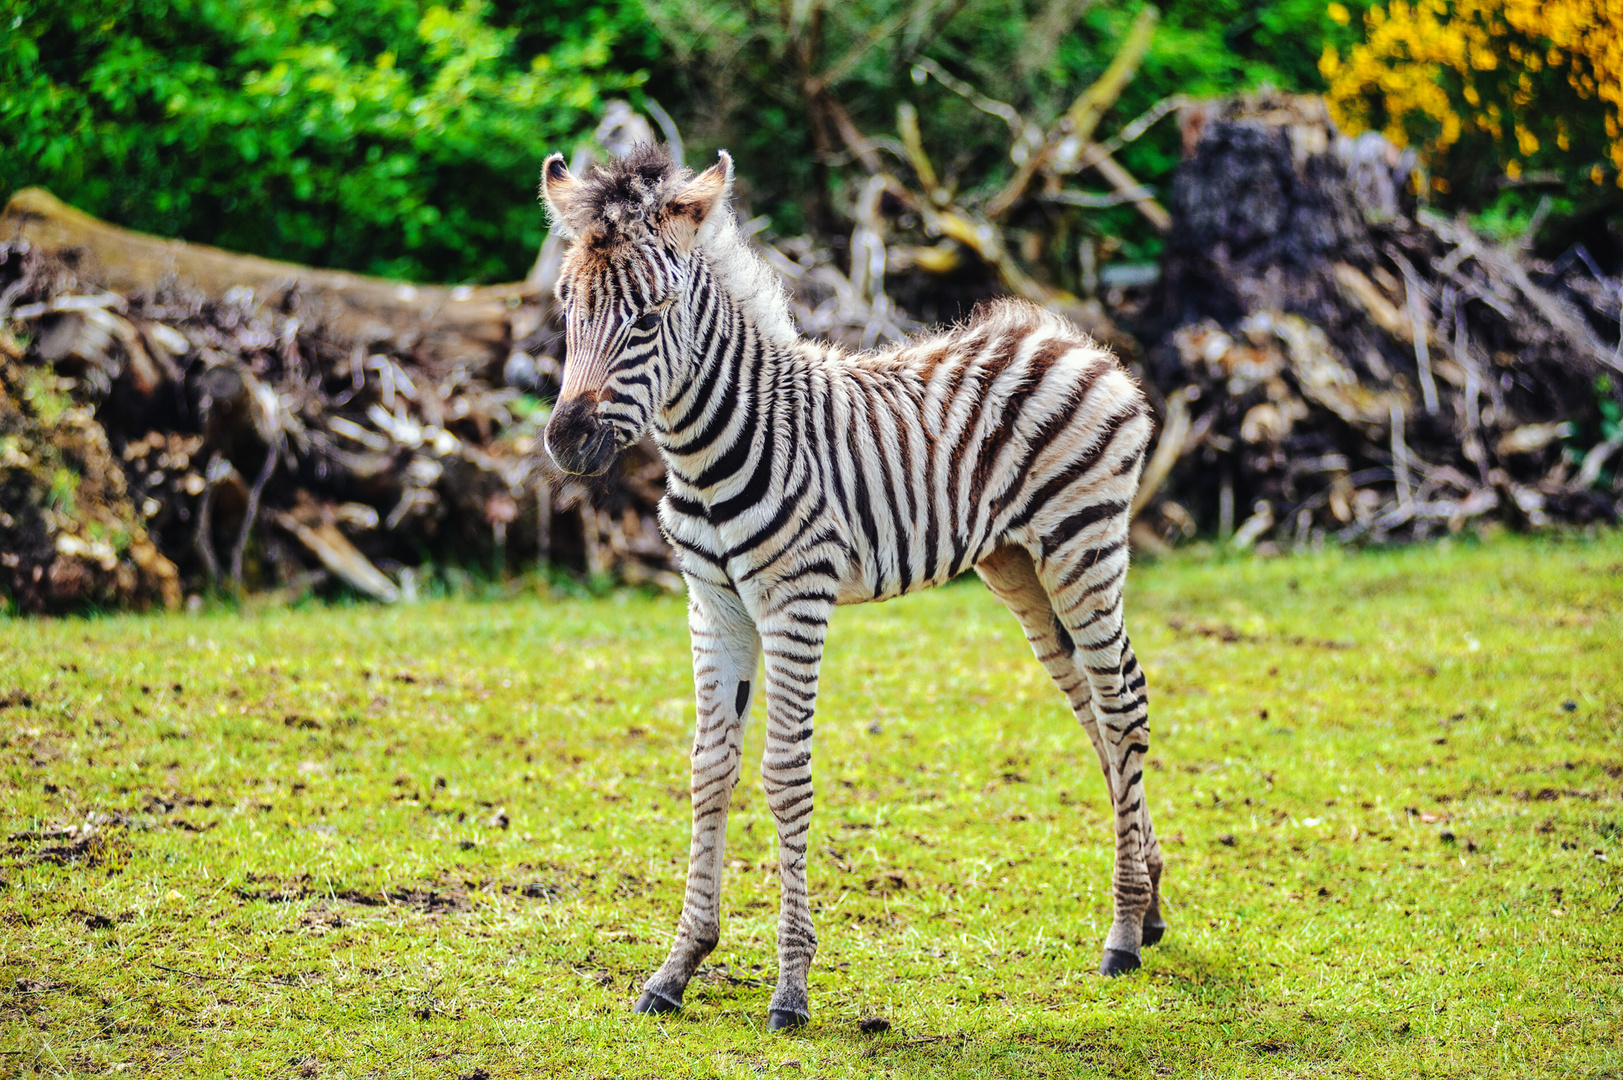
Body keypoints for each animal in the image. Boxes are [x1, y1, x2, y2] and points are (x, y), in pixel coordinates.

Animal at [545, 145, 1168, 1026]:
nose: (567, 441)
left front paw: (790, 989)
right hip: (1017, 566)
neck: (712, 447)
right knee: (1093, 714)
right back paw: (1147, 908)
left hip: (1082, 546)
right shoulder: (713, 606)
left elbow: (782, 778)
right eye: (568, 307)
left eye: (649, 316)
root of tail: (1071, 338)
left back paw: (1119, 935)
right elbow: (708, 769)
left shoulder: (793, 604)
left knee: (1123, 708)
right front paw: (677, 967)